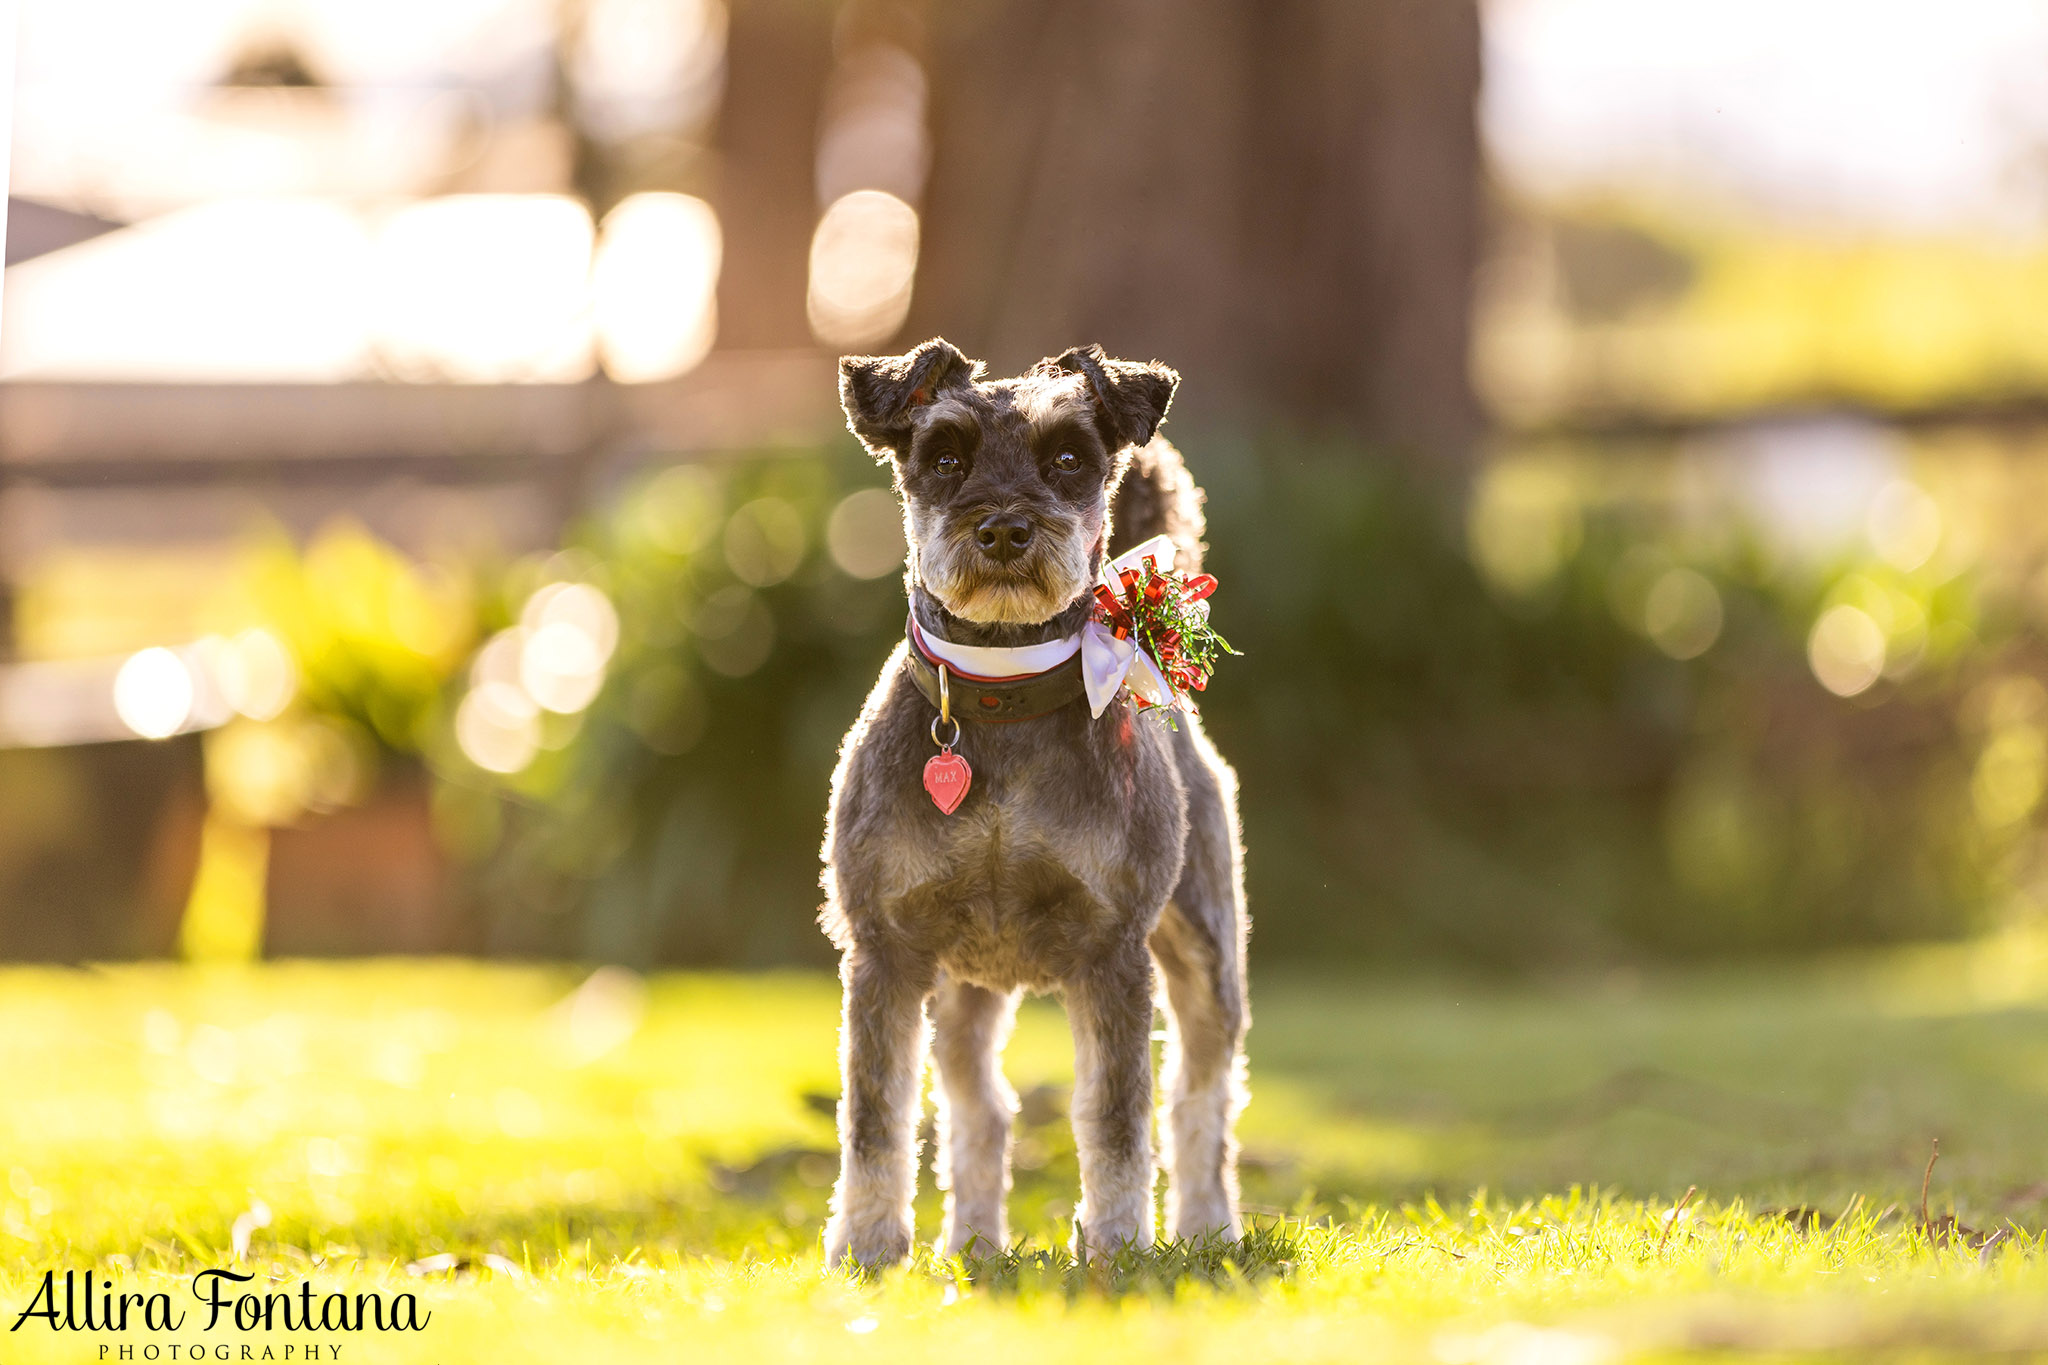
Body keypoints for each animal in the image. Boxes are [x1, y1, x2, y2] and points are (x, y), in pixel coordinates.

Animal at [815, 335, 1245, 1268]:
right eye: (943, 456)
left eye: (1069, 459)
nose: (1006, 528)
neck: (1000, 697)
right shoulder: (885, 953)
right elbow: (876, 1116)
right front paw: (865, 1247)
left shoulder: (1114, 955)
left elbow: (1116, 1118)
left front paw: (1118, 1246)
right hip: (963, 993)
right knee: (981, 1106)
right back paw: (972, 1242)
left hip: (1205, 953)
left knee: (1200, 1100)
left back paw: (1207, 1228)